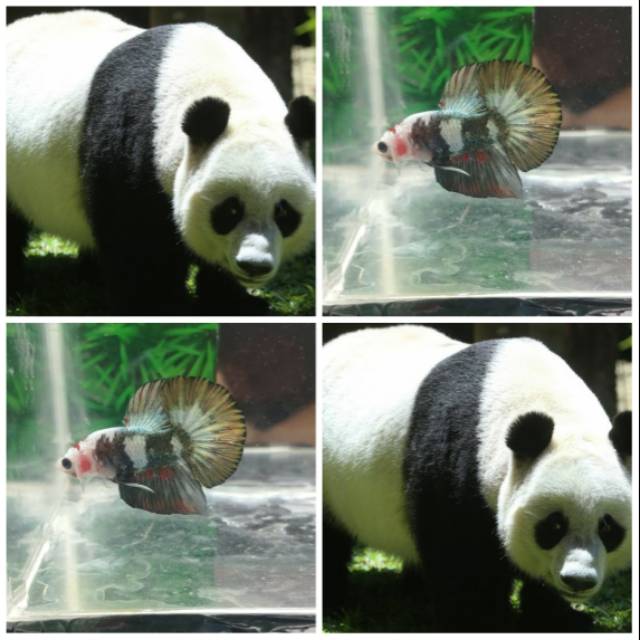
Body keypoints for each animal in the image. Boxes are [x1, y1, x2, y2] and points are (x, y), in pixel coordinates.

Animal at [6, 10, 315, 315]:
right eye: (230, 210)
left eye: (284, 213)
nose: (254, 265)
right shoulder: (130, 148)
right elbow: (136, 244)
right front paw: (160, 304)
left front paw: (235, 302)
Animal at [323, 325, 631, 632]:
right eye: (554, 525)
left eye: (608, 527)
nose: (578, 580)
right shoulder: (455, 464)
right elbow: (461, 562)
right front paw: (481, 620)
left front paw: (558, 618)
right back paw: (336, 603)